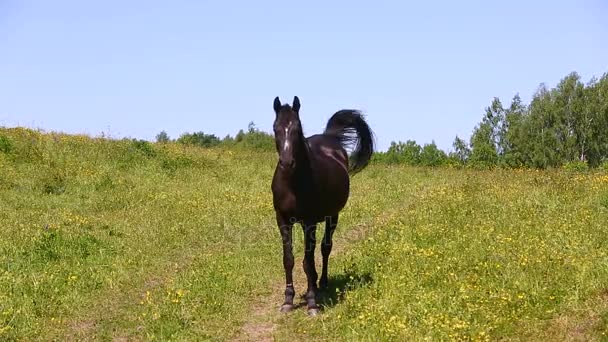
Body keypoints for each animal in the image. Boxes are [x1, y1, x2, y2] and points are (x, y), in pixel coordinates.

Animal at [272, 95, 376, 316]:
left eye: (297, 128)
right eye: (275, 128)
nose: (286, 162)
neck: (293, 183)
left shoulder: (309, 221)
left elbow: (308, 261)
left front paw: (312, 304)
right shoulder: (282, 219)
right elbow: (289, 259)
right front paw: (288, 300)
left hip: (332, 216)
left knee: (325, 248)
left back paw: (323, 283)